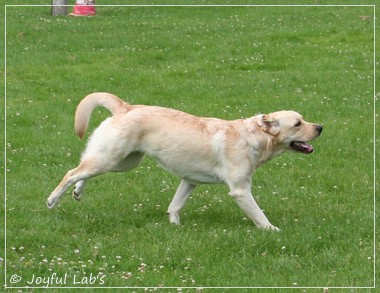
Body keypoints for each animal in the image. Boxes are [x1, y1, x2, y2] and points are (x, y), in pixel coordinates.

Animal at [46, 92, 322, 229]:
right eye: (298, 124)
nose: (321, 127)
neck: (252, 137)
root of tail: (125, 107)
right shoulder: (241, 191)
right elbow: (260, 216)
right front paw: (273, 231)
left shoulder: (189, 181)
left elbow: (174, 206)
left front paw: (175, 227)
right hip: (111, 158)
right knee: (72, 172)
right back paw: (53, 199)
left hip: (122, 162)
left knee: (83, 169)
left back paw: (78, 192)